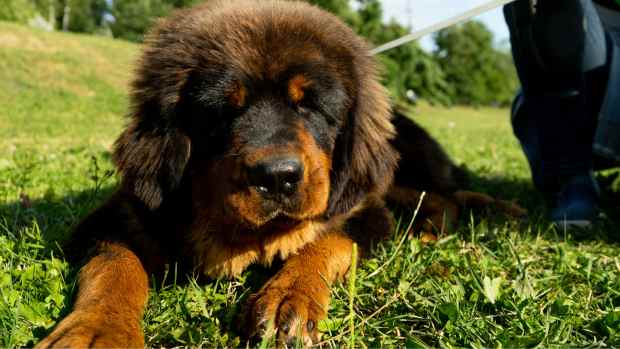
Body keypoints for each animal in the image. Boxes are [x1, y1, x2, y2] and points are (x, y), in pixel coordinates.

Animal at [36, 1, 524, 346]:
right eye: (224, 111)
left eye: (310, 106)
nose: (277, 177)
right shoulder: (116, 220)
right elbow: (115, 265)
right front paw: (97, 330)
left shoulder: (362, 210)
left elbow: (326, 240)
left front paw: (290, 295)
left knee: (447, 194)